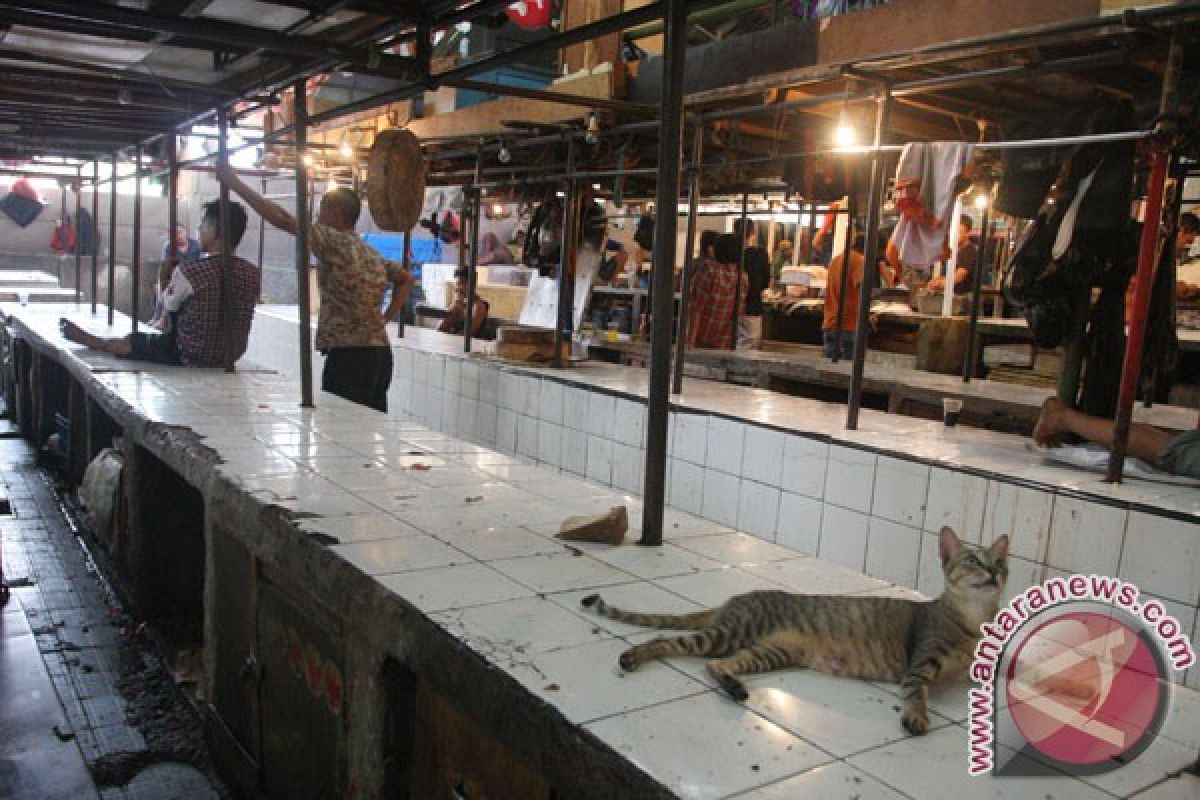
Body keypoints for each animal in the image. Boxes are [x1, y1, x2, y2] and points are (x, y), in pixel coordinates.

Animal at [578, 527, 1003, 734]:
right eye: (973, 560)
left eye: (1000, 562)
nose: (995, 572)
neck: (974, 618)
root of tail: (733, 599)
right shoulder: (920, 664)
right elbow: (916, 694)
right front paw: (917, 718)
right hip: (729, 634)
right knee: (663, 640)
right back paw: (631, 657)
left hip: (768, 652)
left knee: (717, 666)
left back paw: (734, 688)